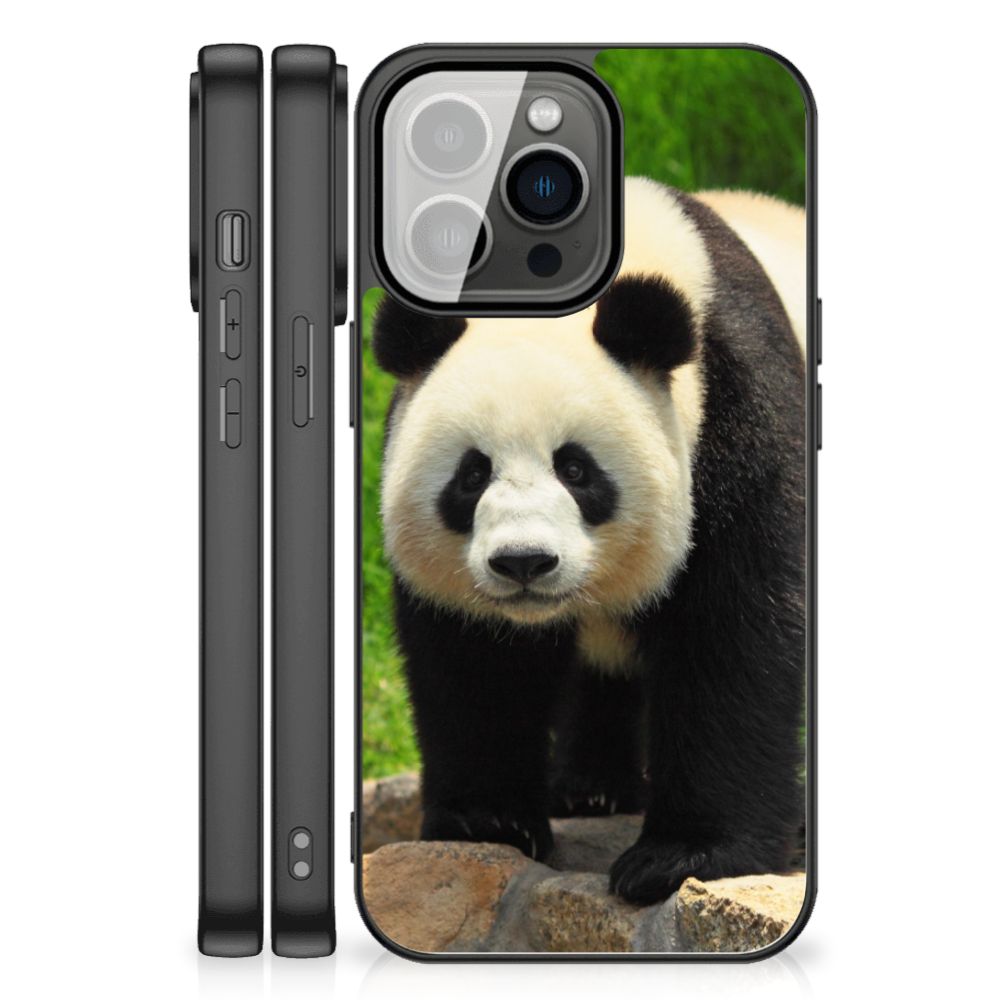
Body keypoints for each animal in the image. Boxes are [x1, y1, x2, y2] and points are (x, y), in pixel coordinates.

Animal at [371, 176, 806, 906]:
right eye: (471, 474)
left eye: (575, 469)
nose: (523, 562)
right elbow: (475, 660)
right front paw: (489, 821)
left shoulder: (739, 416)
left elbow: (736, 634)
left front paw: (681, 856)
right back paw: (591, 789)